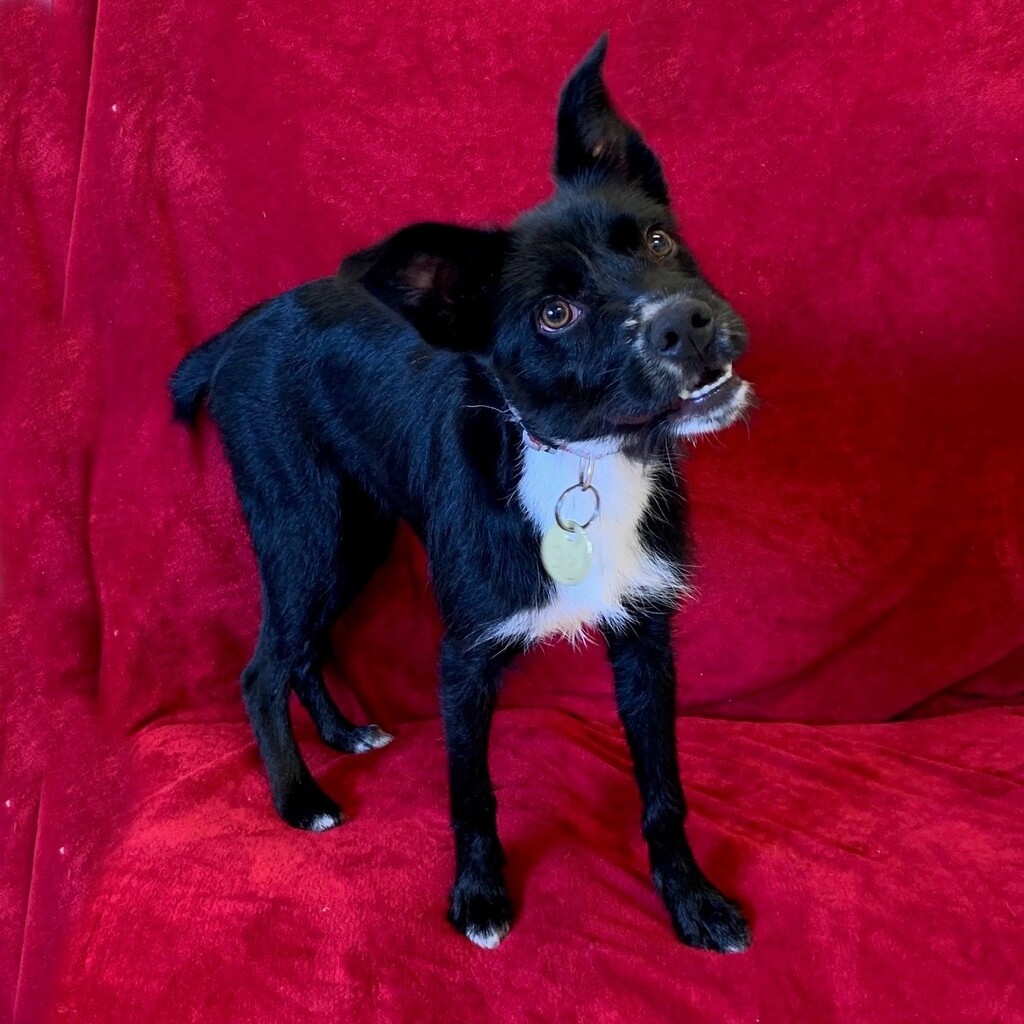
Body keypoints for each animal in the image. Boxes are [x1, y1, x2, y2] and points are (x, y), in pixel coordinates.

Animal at [169, 36, 753, 953]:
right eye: (554, 314)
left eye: (660, 239)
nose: (684, 323)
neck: (584, 463)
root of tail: (236, 331)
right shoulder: (465, 657)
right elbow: (471, 792)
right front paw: (479, 896)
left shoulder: (646, 638)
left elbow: (664, 787)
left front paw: (691, 896)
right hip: (302, 527)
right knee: (264, 664)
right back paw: (300, 797)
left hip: (358, 536)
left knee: (304, 646)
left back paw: (343, 731)